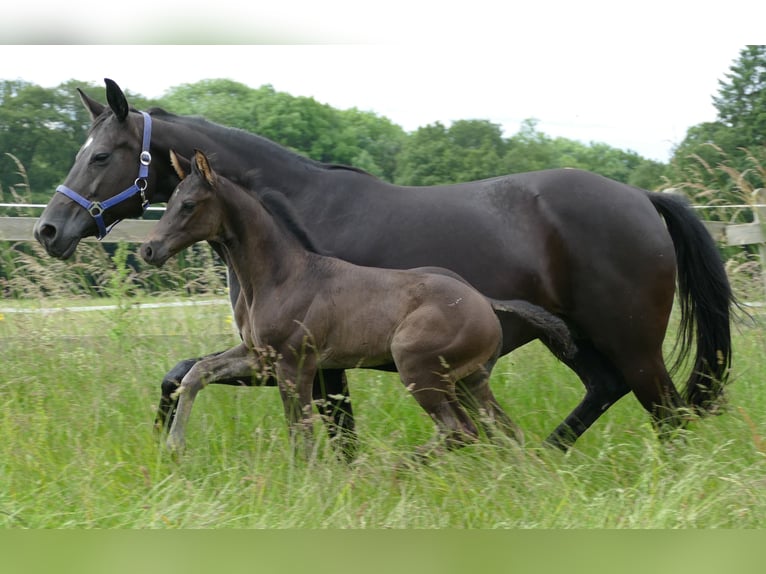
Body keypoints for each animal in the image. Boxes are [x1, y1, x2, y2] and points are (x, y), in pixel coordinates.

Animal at [34, 81, 732, 456]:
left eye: (100, 156)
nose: (49, 230)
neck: (292, 216)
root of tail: (643, 197)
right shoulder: (281, 358)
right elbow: (178, 375)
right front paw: (164, 445)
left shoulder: (309, 362)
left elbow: (332, 434)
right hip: (577, 338)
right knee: (602, 391)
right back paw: (541, 460)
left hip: (631, 341)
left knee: (667, 413)